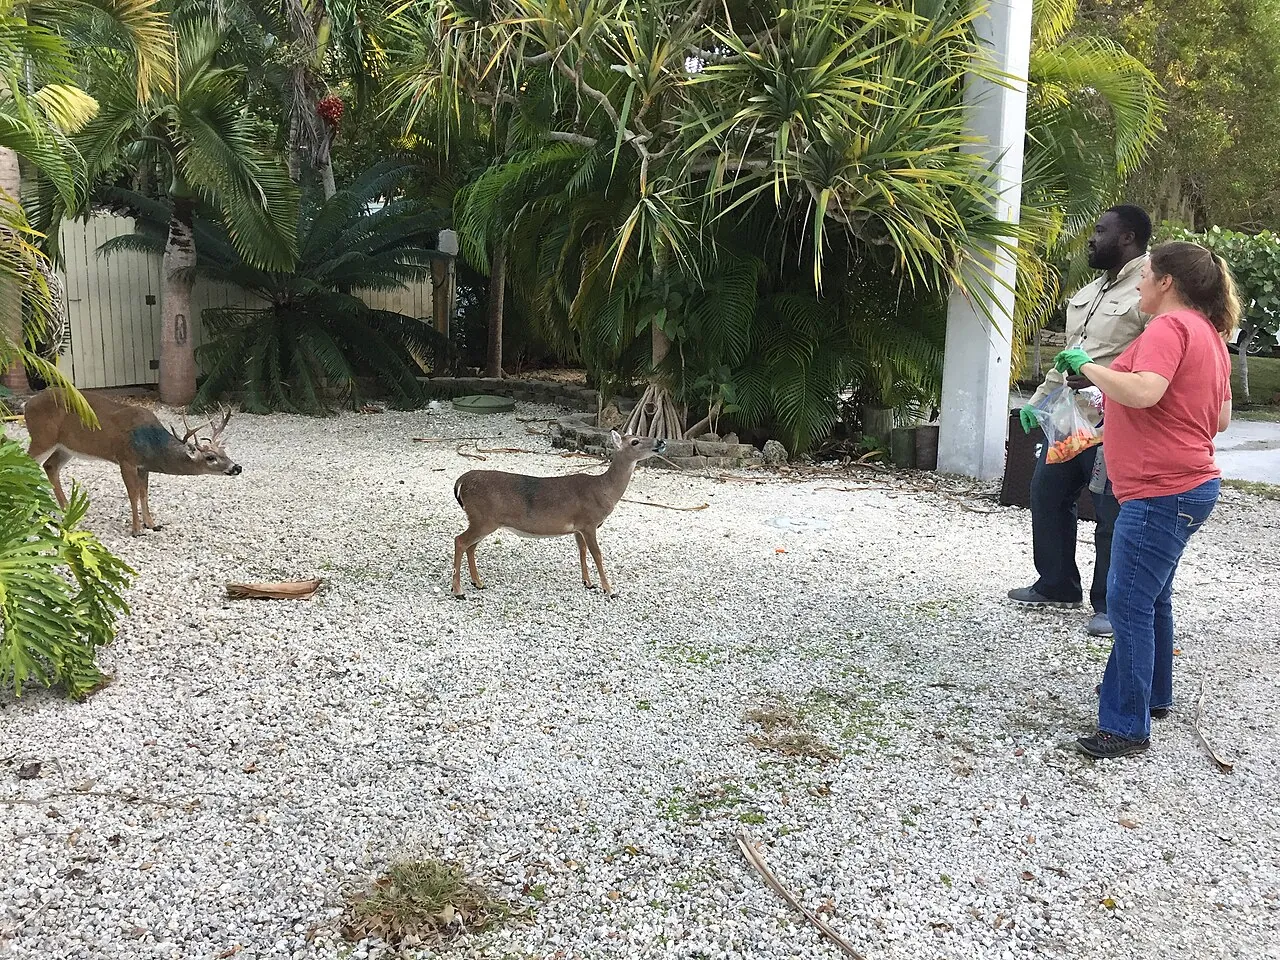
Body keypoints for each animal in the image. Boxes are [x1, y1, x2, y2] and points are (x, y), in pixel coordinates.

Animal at [23, 388, 242, 536]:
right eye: (210, 457)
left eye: (224, 452)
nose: (237, 467)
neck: (151, 444)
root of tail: (27, 405)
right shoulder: (126, 459)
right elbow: (133, 494)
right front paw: (136, 530)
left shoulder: (143, 466)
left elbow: (144, 494)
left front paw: (151, 524)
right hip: (42, 437)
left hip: (66, 447)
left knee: (50, 466)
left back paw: (67, 511)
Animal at [451, 429, 667, 598]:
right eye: (635, 441)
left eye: (642, 434)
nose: (661, 441)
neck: (603, 490)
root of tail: (462, 480)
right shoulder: (589, 522)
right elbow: (597, 554)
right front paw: (610, 590)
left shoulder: (578, 528)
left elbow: (582, 551)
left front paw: (588, 583)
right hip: (483, 518)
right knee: (460, 541)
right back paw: (459, 591)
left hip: (484, 520)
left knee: (470, 546)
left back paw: (478, 583)